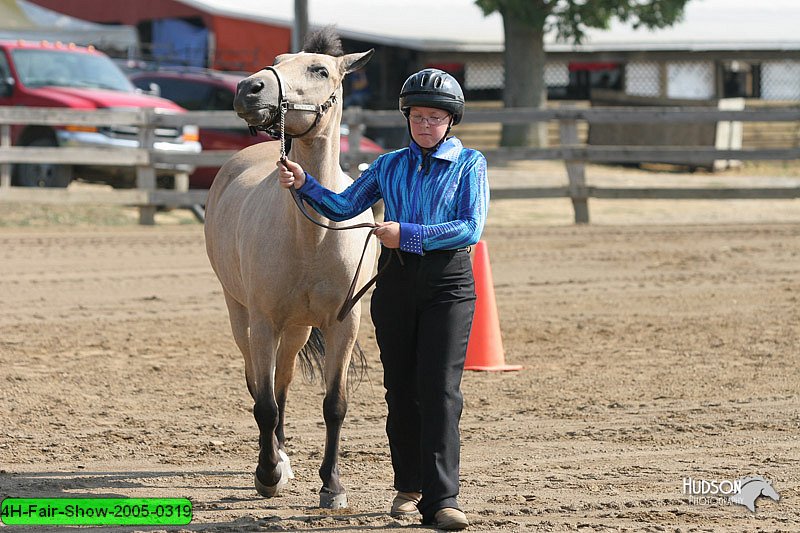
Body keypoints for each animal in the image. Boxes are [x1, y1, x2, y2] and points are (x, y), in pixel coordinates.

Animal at [206, 28, 382, 508]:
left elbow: (334, 404)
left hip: (299, 328)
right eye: (278, 59)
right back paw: (275, 460)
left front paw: (332, 486)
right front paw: (268, 475)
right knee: (259, 384)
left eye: (319, 70)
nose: (248, 89)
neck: (312, 235)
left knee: (282, 382)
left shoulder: (344, 324)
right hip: (241, 317)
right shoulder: (264, 322)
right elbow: (263, 403)